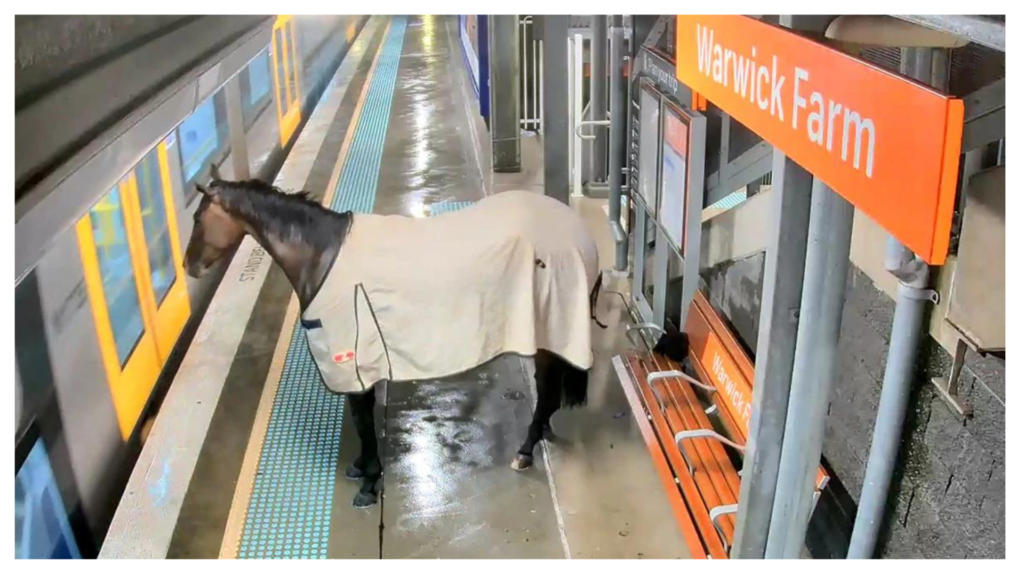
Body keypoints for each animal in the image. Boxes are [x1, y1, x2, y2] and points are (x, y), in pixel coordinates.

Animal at [185, 163, 602, 504]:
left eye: (197, 218)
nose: (189, 267)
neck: (322, 257)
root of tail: (580, 232)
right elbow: (363, 421)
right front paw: (360, 468)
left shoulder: (353, 365)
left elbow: (363, 423)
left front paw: (369, 483)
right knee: (549, 390)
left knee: (547, 389)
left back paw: (525, 450)